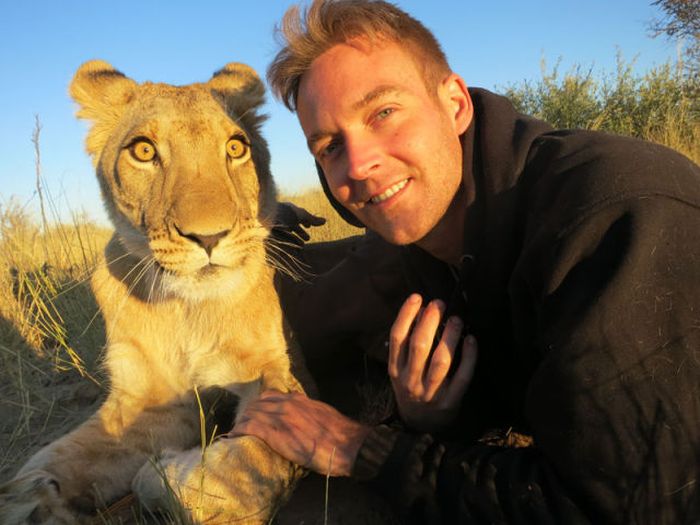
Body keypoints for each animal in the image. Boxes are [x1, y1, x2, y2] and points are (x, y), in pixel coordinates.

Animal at [0, 60, 308, 520]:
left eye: (237, 148)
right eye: (144, 151)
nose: (209, 236)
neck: (188, 311)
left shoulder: (276, 373)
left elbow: (244, 468)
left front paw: (162, 476)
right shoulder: (151, 401)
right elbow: (58, 456)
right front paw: (30, 499)